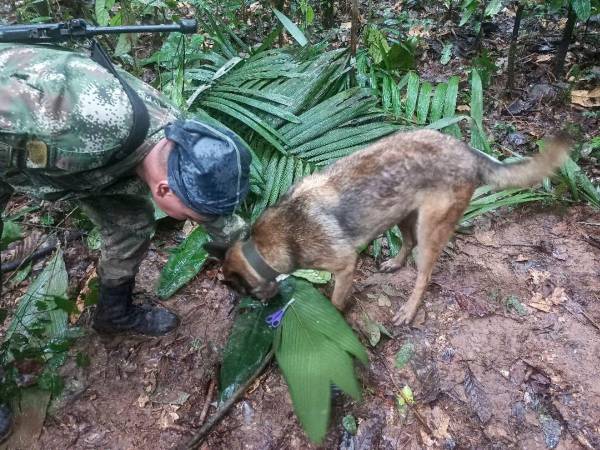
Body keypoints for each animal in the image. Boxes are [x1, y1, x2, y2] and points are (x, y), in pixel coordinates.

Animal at [218, 128, 568, 326]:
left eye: (241, 291)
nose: (262, 306)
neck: (264, 244)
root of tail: (468, 151)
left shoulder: (344, 267)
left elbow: (336, 300)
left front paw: (333, 317)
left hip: (429, 230)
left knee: (424, 274)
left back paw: (409, 310)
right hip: (402, 213)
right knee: (408, 243)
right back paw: (394, 264)